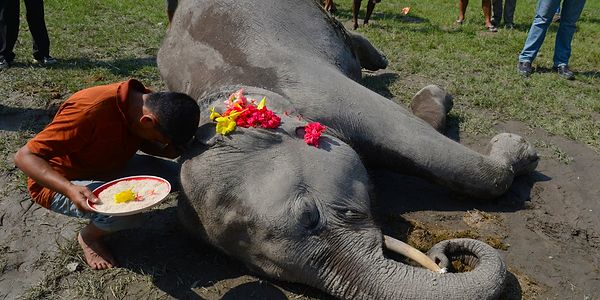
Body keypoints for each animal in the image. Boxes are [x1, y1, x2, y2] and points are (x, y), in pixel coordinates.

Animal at [156, 0, 540, 298]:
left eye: (310, 215)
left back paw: (381, 59)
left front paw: (519, 149)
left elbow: (419, 138)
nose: (443, 260)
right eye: (260, 268)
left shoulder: (318, 89)